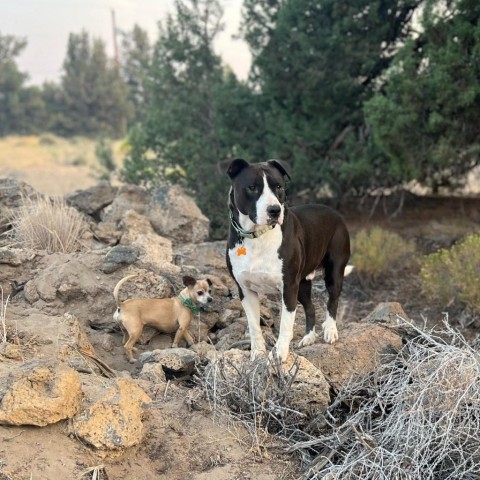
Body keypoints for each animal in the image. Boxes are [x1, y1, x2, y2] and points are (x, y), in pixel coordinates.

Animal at [222, 159, 352, 362]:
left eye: (279, 187)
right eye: (252, 187)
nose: (274, 210)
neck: (257, 237)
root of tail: (334, 212)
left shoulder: (288, 287)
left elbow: (285, 325)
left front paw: (279, 354)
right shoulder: (245, 290)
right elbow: (254, 326)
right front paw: (257, 353)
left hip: (334, 272)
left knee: (333, 301)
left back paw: (330, 331)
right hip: (303, 284)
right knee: (310, 307)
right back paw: (308, 338)